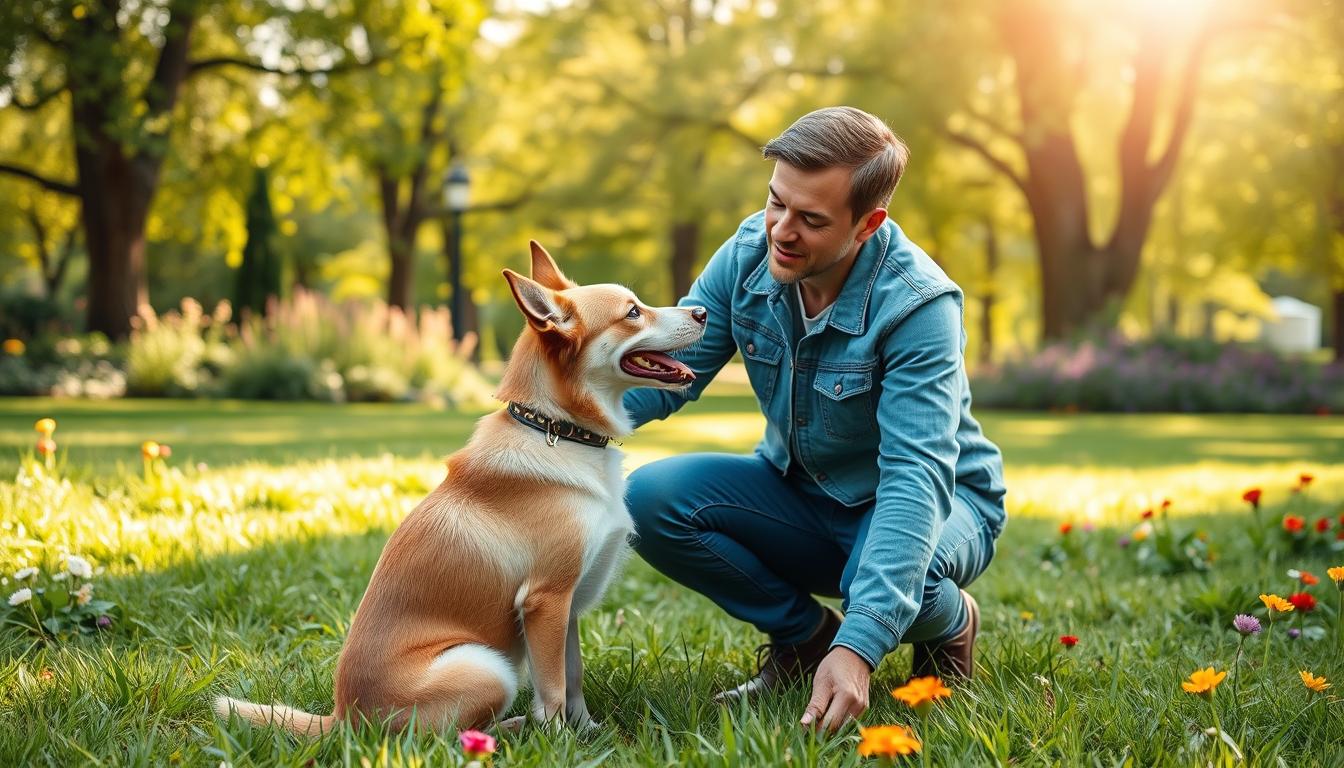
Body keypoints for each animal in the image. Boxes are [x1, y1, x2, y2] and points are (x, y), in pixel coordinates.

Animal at [215, 243, 709, 737]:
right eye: (633, 312)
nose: (703, 311)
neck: (557, 429)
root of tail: (344, 719)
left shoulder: (566, 609)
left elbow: (573, 679)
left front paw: (588, 732)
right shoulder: (546, 600)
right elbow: (553, 691)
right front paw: (558, 741)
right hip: (486, 666)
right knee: (441, 740)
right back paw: (512, 730)